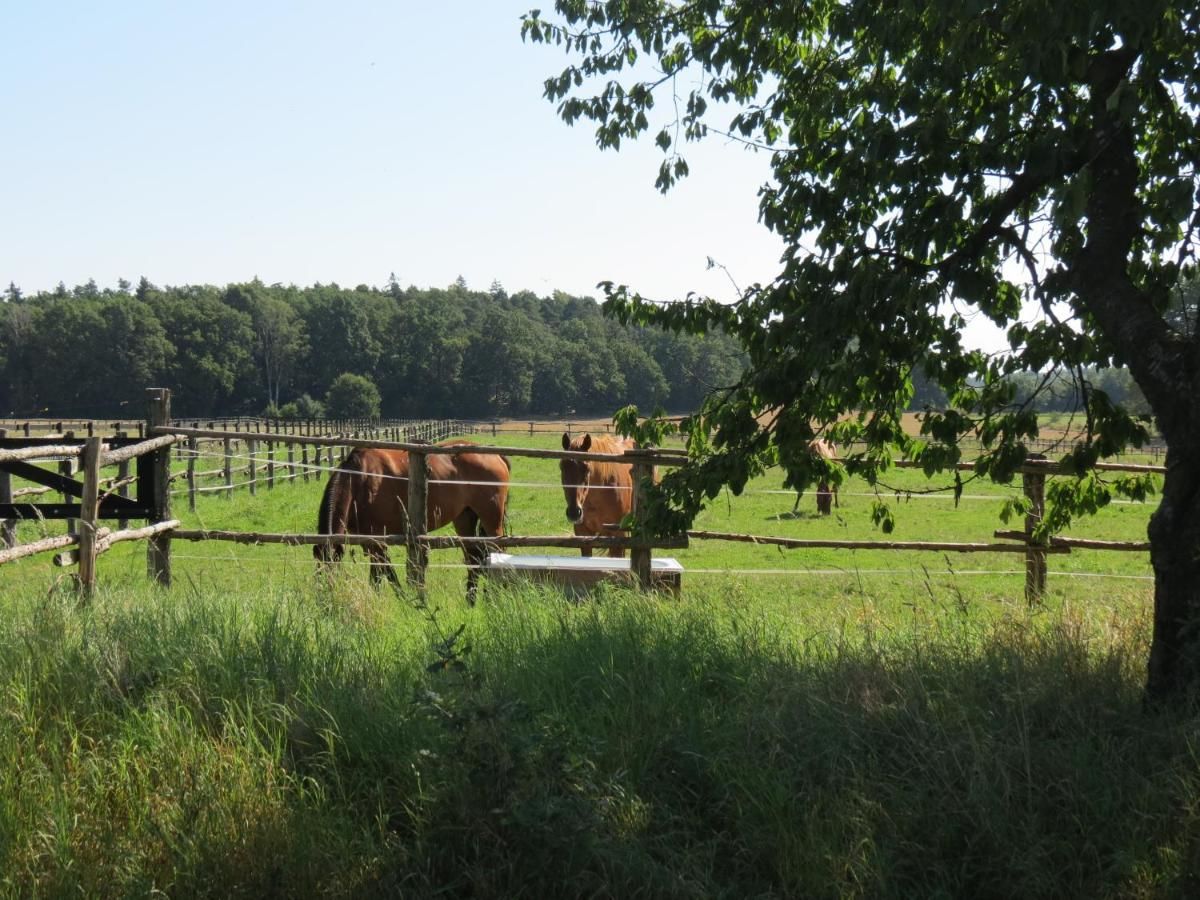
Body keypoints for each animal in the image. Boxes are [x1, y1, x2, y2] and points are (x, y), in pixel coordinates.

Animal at [312, 441, 508, 602]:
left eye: (332, 568)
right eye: (318, 566)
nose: (325, 597)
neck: (360, 479)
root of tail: (496, 456)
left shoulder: (377, 540)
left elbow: (383, 573)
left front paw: (401, 599)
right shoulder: (367, 541)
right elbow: (382, 571)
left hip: (491, 520)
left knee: (498, 552)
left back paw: (496, 596)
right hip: (464, 518)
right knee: (474, 558)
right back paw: (470, 601)